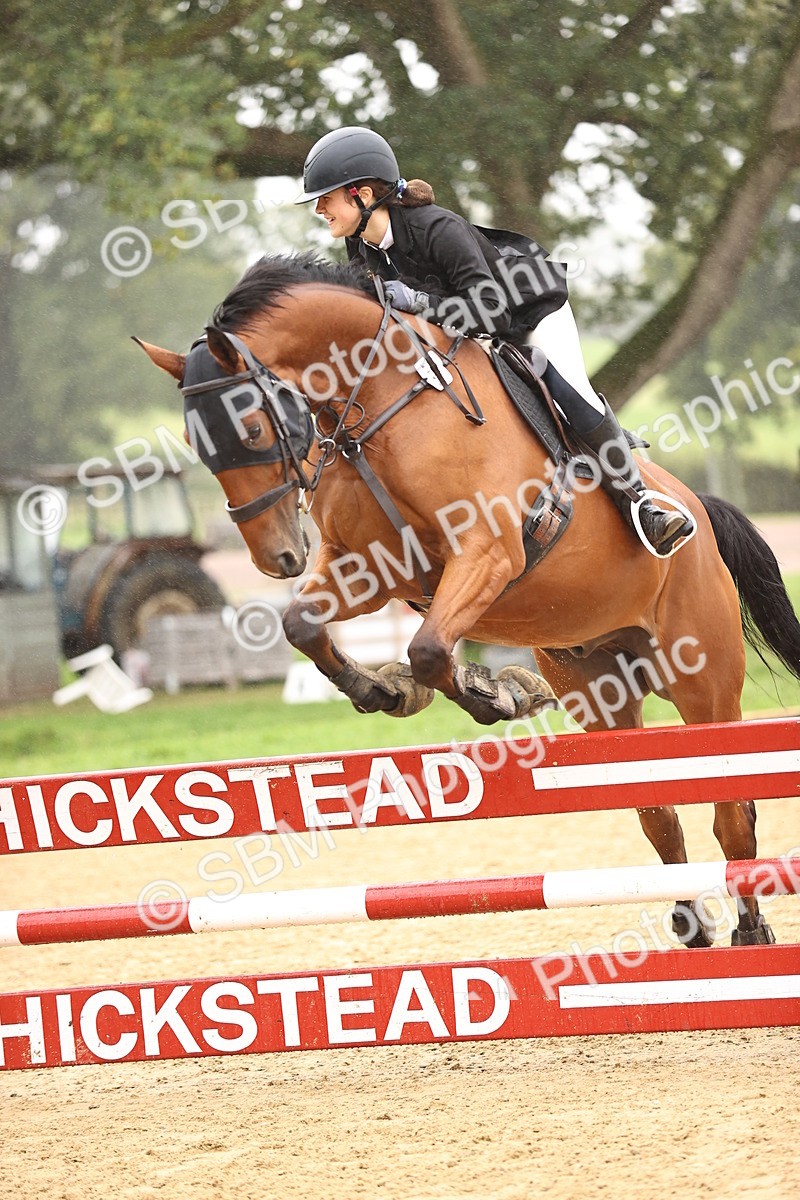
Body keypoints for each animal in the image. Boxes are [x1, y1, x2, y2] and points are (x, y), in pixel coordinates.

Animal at [137, 252, 800, 948]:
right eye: (198, 445)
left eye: (252, 427)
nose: (277, 559)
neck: (382, 403)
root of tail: (699, 510)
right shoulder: (373, 570)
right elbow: (303, 625)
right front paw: (384, 690)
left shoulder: (486, 553)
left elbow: (430, 647)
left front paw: (494, 695)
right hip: (597, 685)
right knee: (658, 810)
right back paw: (692, 925)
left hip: (704, 682)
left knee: (732, 807)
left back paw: (750, 933)